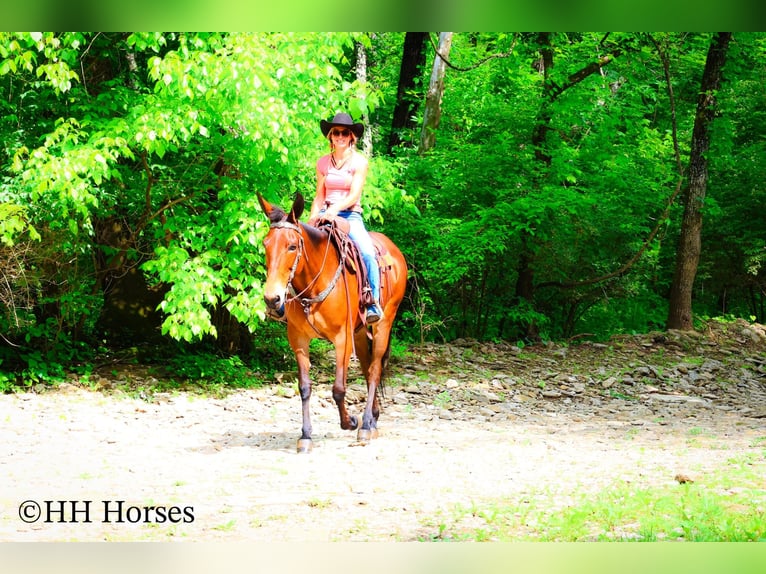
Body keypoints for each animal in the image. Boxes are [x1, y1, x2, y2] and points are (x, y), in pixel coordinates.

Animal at [257, 192, 407, 453]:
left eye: (292, 246)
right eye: (266, 244)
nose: (272, 299)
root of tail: (394, 250)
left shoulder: (342, 338)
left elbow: (338, 389)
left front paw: (350, 422)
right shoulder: (298, 339)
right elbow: (304, 387)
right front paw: (306, 436)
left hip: (383, 323)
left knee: (375, 369)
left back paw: (365, 425)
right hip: (360, 332)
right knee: (367, 368)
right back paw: (373, 419)